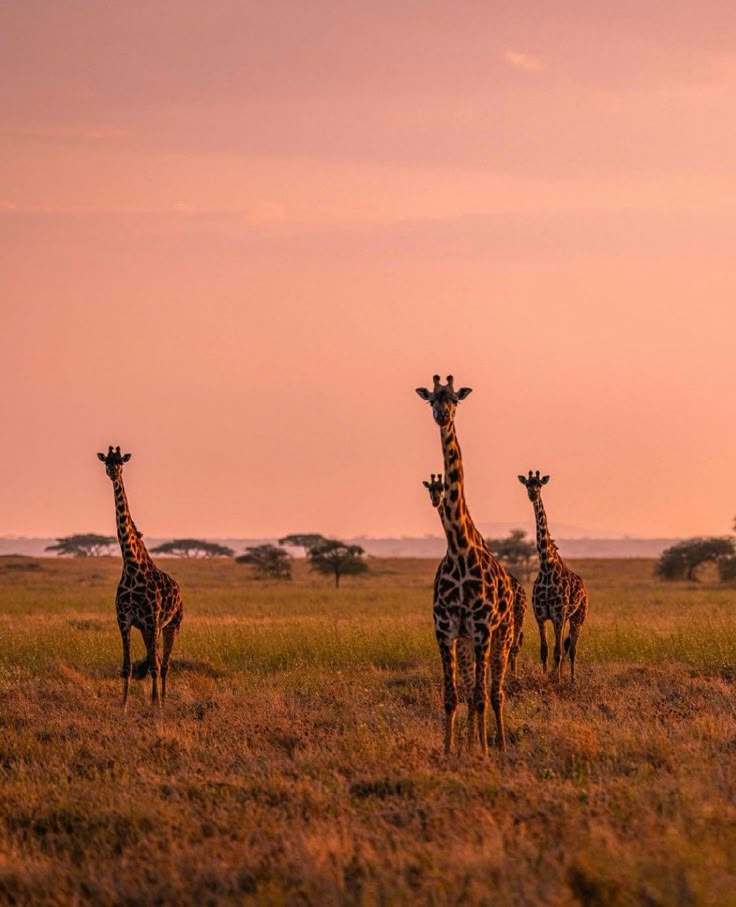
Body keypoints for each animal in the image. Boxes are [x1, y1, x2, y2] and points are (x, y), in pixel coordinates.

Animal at [97, 446, 183, 708]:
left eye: (121, 462)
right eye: (107, 461)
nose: (113, 471)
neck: (132, 564)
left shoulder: (152, 619)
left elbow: (154, 666)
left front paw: (157, 708)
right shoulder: (125, 620)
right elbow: (126, 667)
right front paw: (124, 707)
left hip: (172, 625)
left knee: (164, 665)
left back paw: (162, 700)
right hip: (148, 629)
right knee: (157, 660)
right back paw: (155, 699)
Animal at [416, 374, 516, 752]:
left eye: (455, 399)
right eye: (431, 399)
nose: (442, 415)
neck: (459, 548)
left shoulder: (483, 628)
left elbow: (479, 697)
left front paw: (484, 754)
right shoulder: (446, 630)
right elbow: (451, 697)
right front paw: (449, 751)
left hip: (503, 634)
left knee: (495, 692)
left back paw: (496, 744)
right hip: (467, 641)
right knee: (475, 692)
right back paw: (472, 741)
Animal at [422, 478, 528, 676]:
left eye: (441, 487)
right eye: (429, 489)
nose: (436, 500)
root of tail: (522, 590)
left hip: (516, 618)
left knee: (513, 646)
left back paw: (513, 675)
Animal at [520, 476, 588, 680]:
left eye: (539, 485)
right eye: (527, 484)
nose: (532, 494)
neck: (546, 565)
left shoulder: (558, 614)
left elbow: (557, 651)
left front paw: (556, 680)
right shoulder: (541, 615)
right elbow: (545, 650)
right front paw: (545, 676)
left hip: (578, 616)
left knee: (572, 649)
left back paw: (572, 678)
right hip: (566, 618)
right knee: (565, 647)